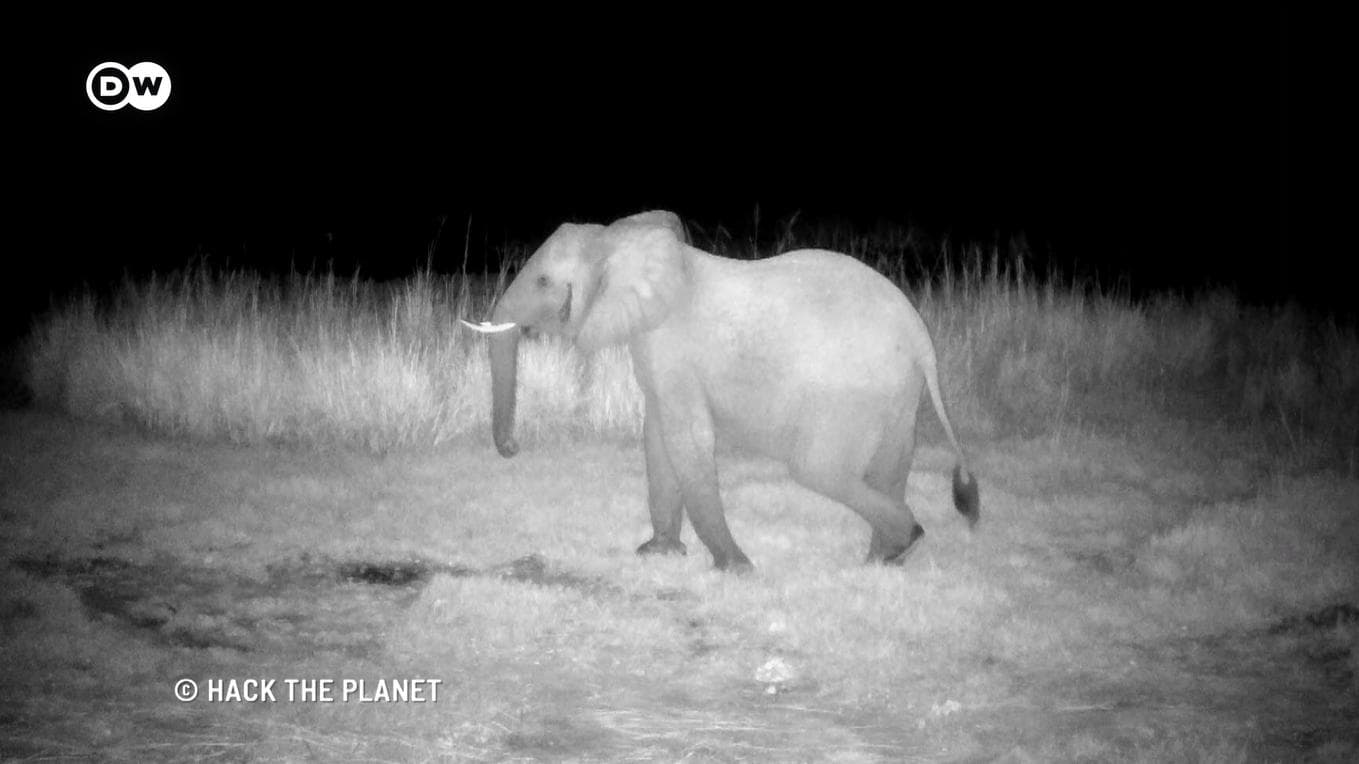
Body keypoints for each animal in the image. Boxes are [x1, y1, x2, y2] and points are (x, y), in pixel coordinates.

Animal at [463, 210, 979, 571]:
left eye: (543, 281)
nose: (512, 448)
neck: (618, 241)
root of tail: (920, 336)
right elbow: (658, 440)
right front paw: (657, 553)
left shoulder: (671, 348)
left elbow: (686, 442)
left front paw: (735, 568)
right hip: (895, 394)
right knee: (891, 466)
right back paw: (885, 559)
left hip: (852, 394)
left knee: (817, 470)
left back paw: (904, 541)